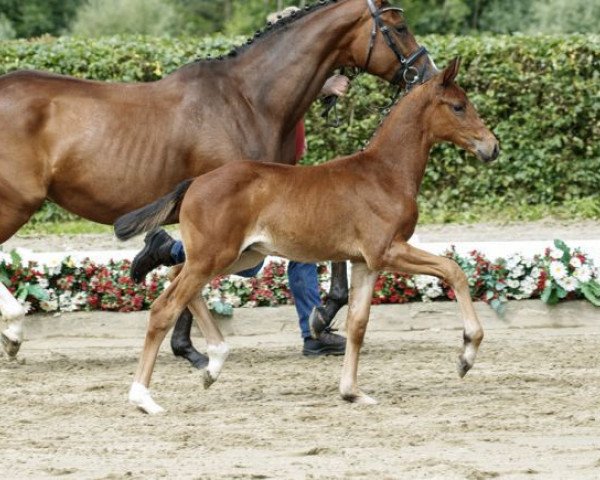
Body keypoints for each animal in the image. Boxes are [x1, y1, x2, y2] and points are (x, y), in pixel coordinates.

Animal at [0, 0, 436, 360]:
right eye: (399, 27)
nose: (428, 74)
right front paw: (190, 348)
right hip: (15, 203)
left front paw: (319, 324)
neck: (248, 101)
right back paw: (14, 331)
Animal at [115, 59, 500, 412]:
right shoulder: (387, 250)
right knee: (164, 307)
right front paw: (467, 355)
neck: (385, 173)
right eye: (458, 106)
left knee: (176, 273)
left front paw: (352, 392)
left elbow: (358, 324)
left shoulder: (365, 262)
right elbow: (453, 270)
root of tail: (194, 183)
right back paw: (143, 397)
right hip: (215, 256)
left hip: (241, 255)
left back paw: (214, 363)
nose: (492, 147)